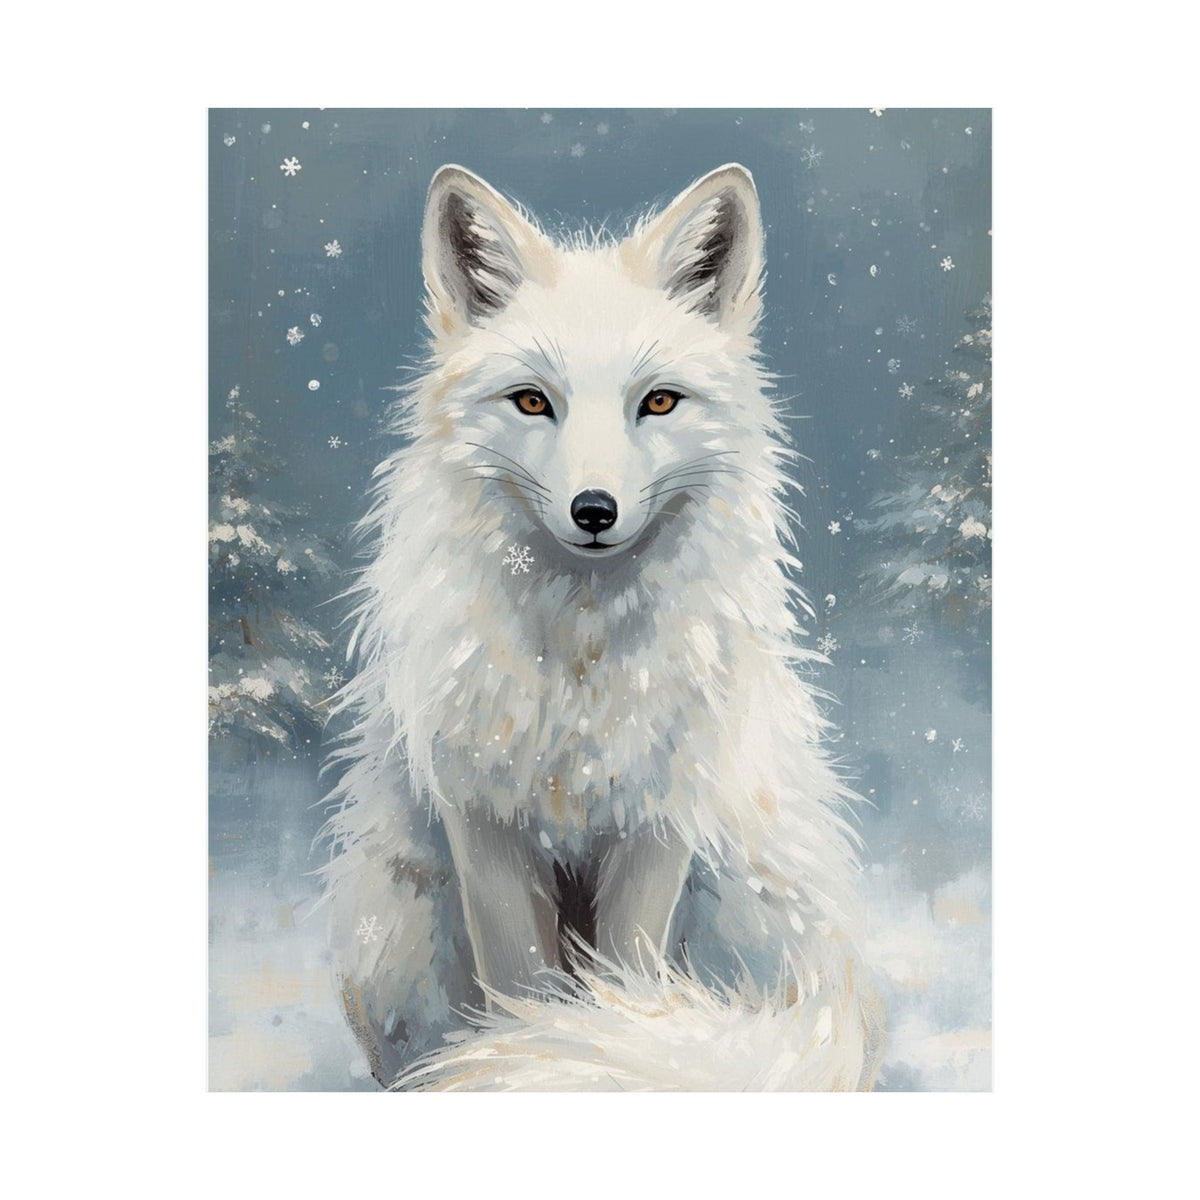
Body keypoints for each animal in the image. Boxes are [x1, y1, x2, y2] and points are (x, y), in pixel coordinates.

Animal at [319, 162, 884, 1091]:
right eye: (531, 402)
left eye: (657, 402)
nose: (594, 510)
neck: (581, 672)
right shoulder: (486, 821)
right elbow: (521, 985)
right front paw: (520, 1051)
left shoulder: (658, 819)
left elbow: (622, 981)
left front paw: (578, 1045)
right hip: (394, 927)